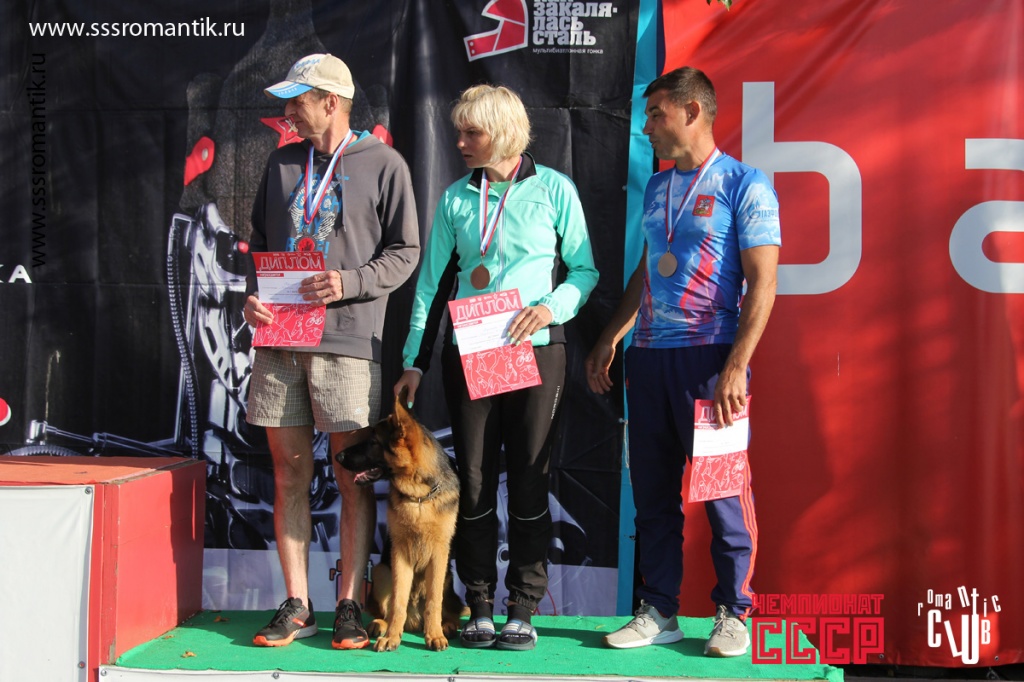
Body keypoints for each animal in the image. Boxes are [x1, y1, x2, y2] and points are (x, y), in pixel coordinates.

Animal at [337, 387, 464, 651]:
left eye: (373, 442)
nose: (337, 456)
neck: (419, 497)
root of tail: (415, 619)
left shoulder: (439, 555)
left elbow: (434, 601)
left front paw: (434, 634)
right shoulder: (400, 555)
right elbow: (397, 601)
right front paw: (392, 637)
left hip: (447, 575)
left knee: (444, 608)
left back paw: (446, 625)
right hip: (382, 571)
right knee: (392, 607)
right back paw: (382, 624)